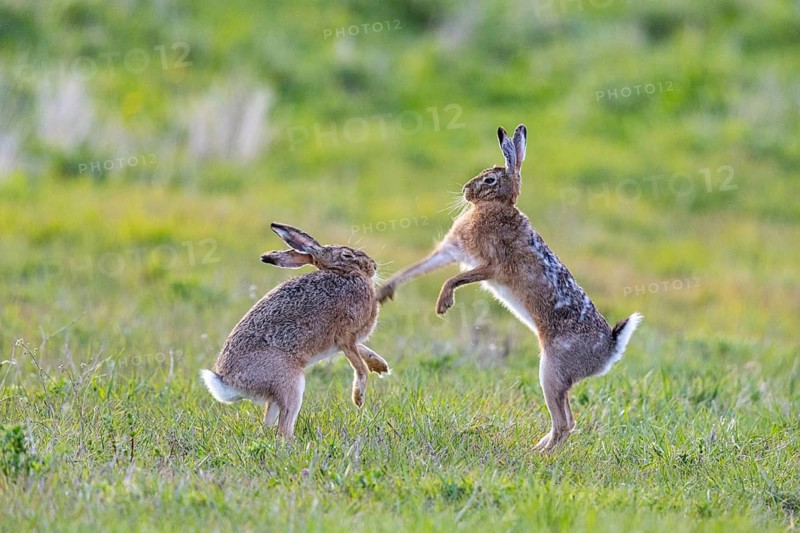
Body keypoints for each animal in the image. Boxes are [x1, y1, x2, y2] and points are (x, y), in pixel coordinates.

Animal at [201, 222, 390, 439]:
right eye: (347, 255)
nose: (373, 266)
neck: (345, 273)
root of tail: (227, 383)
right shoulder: (345, 337)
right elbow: (359, 367)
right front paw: (358, 398)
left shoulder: (346, 343)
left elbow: (363, 351)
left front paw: (381, 366)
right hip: (291, 382)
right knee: (283, 428)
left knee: (269, 423)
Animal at [377, 124, 642, 452]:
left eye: (490, 179)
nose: (465, 190)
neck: (498, 206)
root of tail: (609, 350)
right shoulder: (452, 250)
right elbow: (417, 268)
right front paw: (383, 292)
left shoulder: (490, 265)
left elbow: (454, 279)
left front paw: (443, 304)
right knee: (567, 420)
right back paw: (539, 448)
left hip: (551, 371)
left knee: (564, 423)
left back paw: (538, 455)